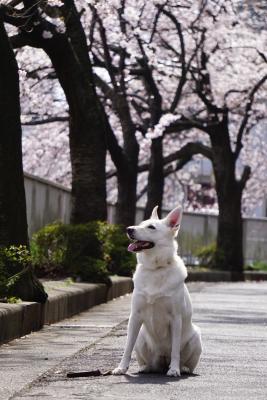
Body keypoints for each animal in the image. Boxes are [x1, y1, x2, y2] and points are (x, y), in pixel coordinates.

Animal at [113, 205, 203, 376]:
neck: (155, 269)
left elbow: (175, 350)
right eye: (141, 223)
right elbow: (127, 347)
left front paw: (174, 369)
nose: (129, 229)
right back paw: (145, 367)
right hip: (141, 337)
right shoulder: (135, 316)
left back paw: (183, 368)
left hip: (196, 337)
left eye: (151, 227)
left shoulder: (176, 318)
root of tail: (162, 360)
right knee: (147, 361)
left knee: (185, 361)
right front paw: (121, 367)